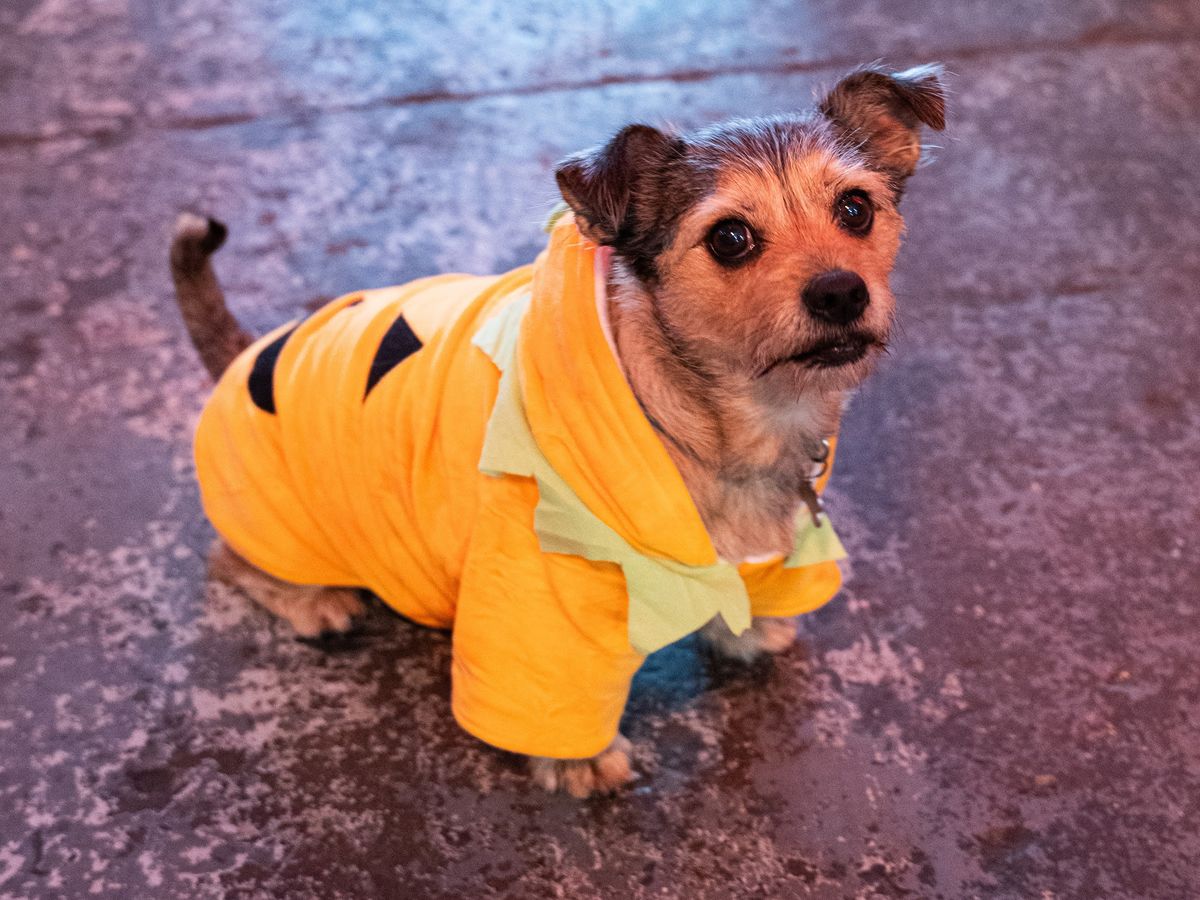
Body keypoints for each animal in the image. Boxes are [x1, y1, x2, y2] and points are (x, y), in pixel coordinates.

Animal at [171, 65, 945, 796]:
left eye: (855, 208)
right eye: (730, 238)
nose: (840, 292)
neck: (715, 424)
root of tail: (244, 353)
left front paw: (749, 626)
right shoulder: (541, 594)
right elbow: (552, 694)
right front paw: (582, 762)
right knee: (226, 558)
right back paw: (314, 600)